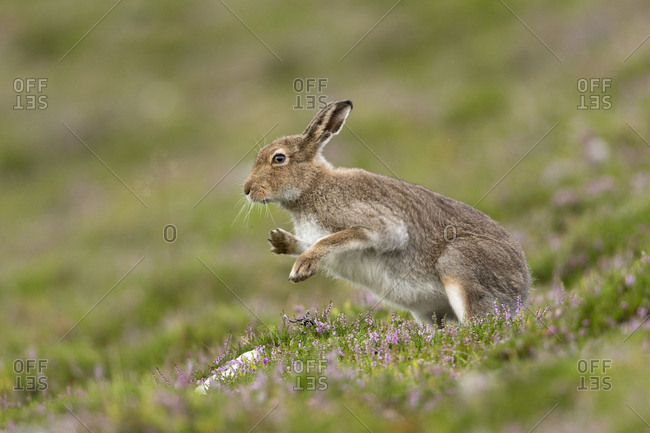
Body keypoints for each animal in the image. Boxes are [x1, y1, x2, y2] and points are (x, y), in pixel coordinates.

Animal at [243, 100, 531, 325]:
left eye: (279, 159)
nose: (247, 190)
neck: (312, 187)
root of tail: (523, 289)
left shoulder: (380, 225)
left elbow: (337, 238)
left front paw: (302, 267)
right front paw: (281, 242)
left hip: (457, 264)